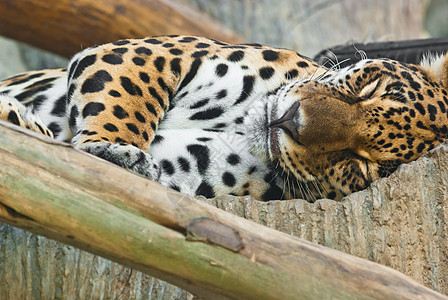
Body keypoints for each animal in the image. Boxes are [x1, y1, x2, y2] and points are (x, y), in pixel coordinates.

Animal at [0, 36, 446, 203]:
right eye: (369, 88)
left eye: (359, 164)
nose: (291, 121)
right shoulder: (147, 54)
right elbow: (127, 100)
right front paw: (112, 148)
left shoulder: (186, 169)